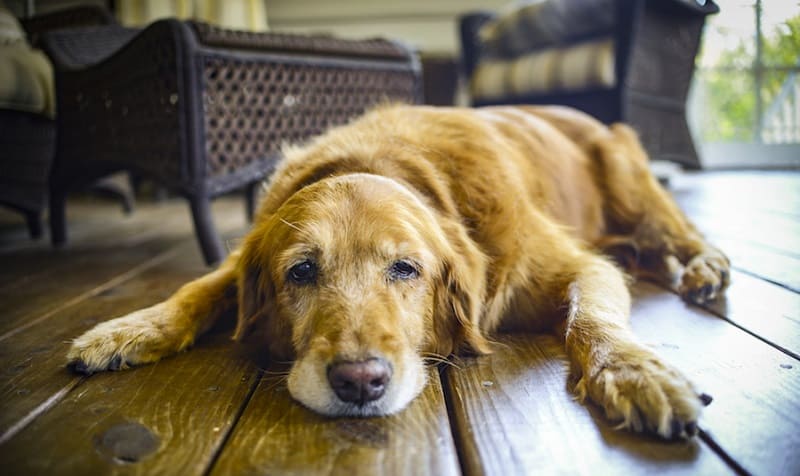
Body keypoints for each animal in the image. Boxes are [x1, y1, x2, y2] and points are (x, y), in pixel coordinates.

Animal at [70, 104, 732, 438]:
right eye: (301, 272)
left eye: (406, 268)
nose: (359, 382)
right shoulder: (243, 257)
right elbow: (199, 288)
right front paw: (127, 330)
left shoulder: (577, 265)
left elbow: (591, 319)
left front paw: (634, 372)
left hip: (630, 179)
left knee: (679, 231)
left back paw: (706, 266)